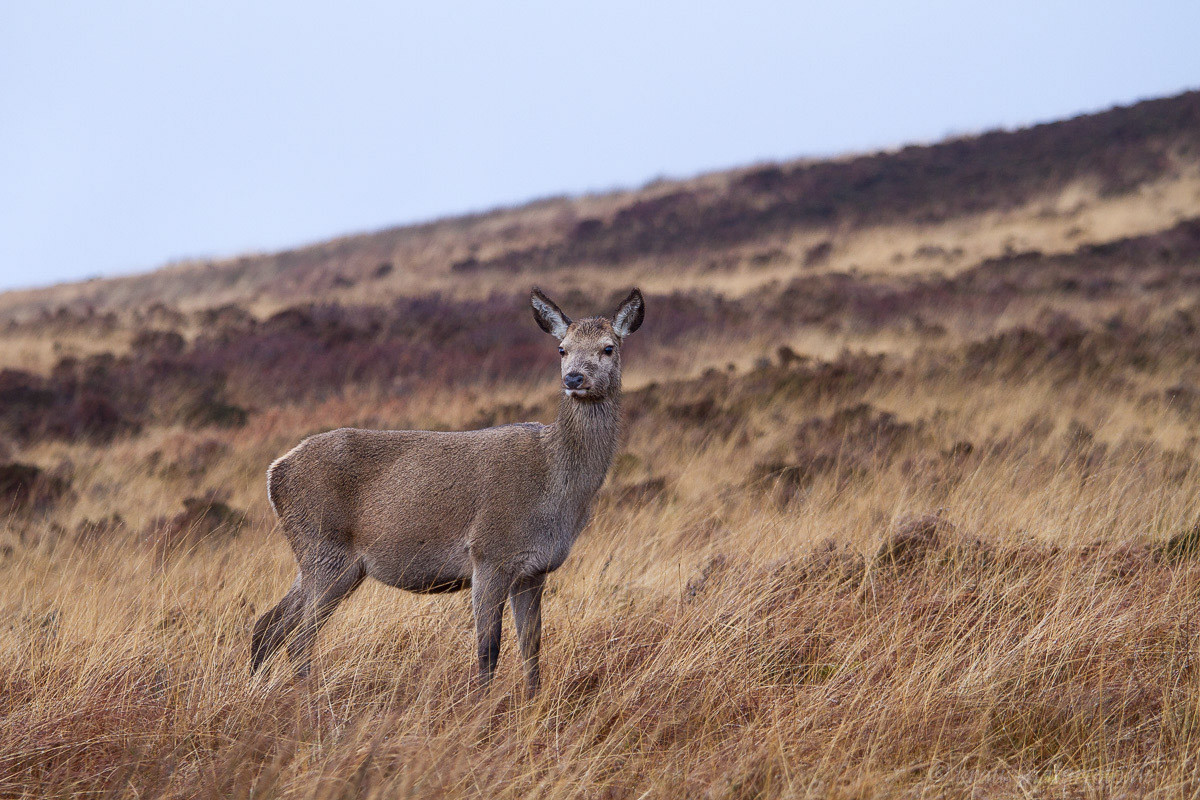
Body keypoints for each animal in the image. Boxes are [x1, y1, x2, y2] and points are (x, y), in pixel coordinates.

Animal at [250, 286, 648, 695]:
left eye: (608, 348)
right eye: (562, 349)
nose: (573, 378)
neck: (557, 491)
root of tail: (274, 474)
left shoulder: (534, 569)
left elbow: (532, 646)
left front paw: (532, 701)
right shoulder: (489, 553)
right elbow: (489, 649)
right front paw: (483, 706)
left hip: (320, 558)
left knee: (269, 623)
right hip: (326, 549)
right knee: (299, 637)